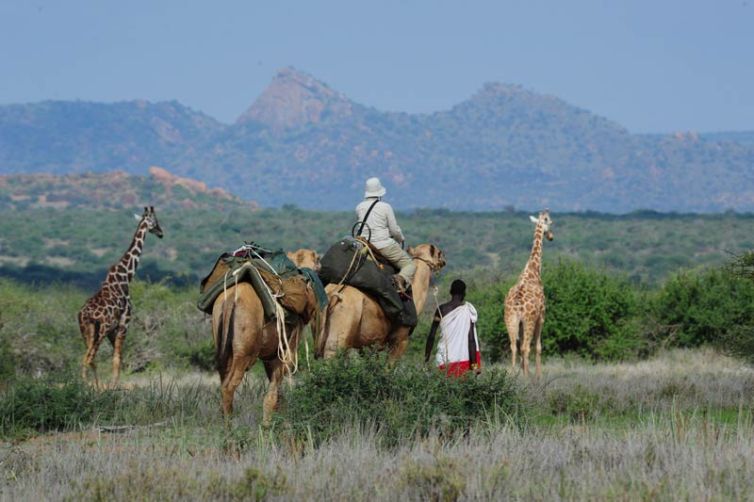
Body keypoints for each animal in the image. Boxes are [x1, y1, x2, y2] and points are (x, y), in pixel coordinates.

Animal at [316, 244, 446, 360]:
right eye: (438, 253)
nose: (444, 260)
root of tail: (332, 295)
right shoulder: (400, 340)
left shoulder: (370, 344)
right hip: (343, 329)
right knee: (332, 352)